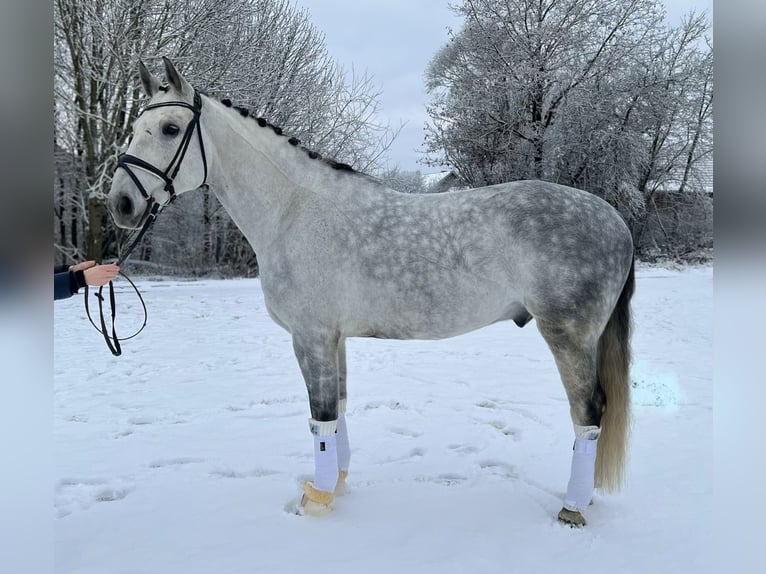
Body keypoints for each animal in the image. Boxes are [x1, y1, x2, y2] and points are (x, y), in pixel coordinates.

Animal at [107, 58, 635, 527]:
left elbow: (319, 417)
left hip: (567, 336)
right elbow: (338, 410)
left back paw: (572, 507)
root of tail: (615, 220)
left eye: (171, 128)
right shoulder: (334, 339)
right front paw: (337, 485)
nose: (121, 204)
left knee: (588, 414)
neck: (294, 212)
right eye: (134, 128)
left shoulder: (311, 337)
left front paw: (317, 500)